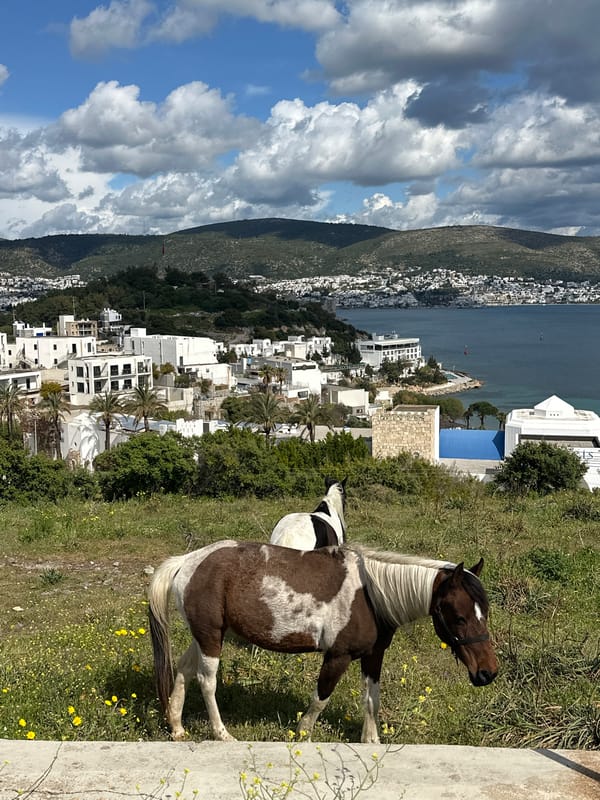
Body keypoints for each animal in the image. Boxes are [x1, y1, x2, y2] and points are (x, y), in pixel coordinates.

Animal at [148, 540, 498, 743]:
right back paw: (222, 734)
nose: (488, 673)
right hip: (210, 637)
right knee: (207, 681)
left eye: (485, 612)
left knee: (184, 670)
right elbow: (320, 699)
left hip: (206, 635)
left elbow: (371, 700)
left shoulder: (373, 656)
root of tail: (187, 561)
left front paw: (371, 742)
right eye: (459, 617)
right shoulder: (337, 657)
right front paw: (302, 733)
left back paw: (177, 726)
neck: (370, 594)